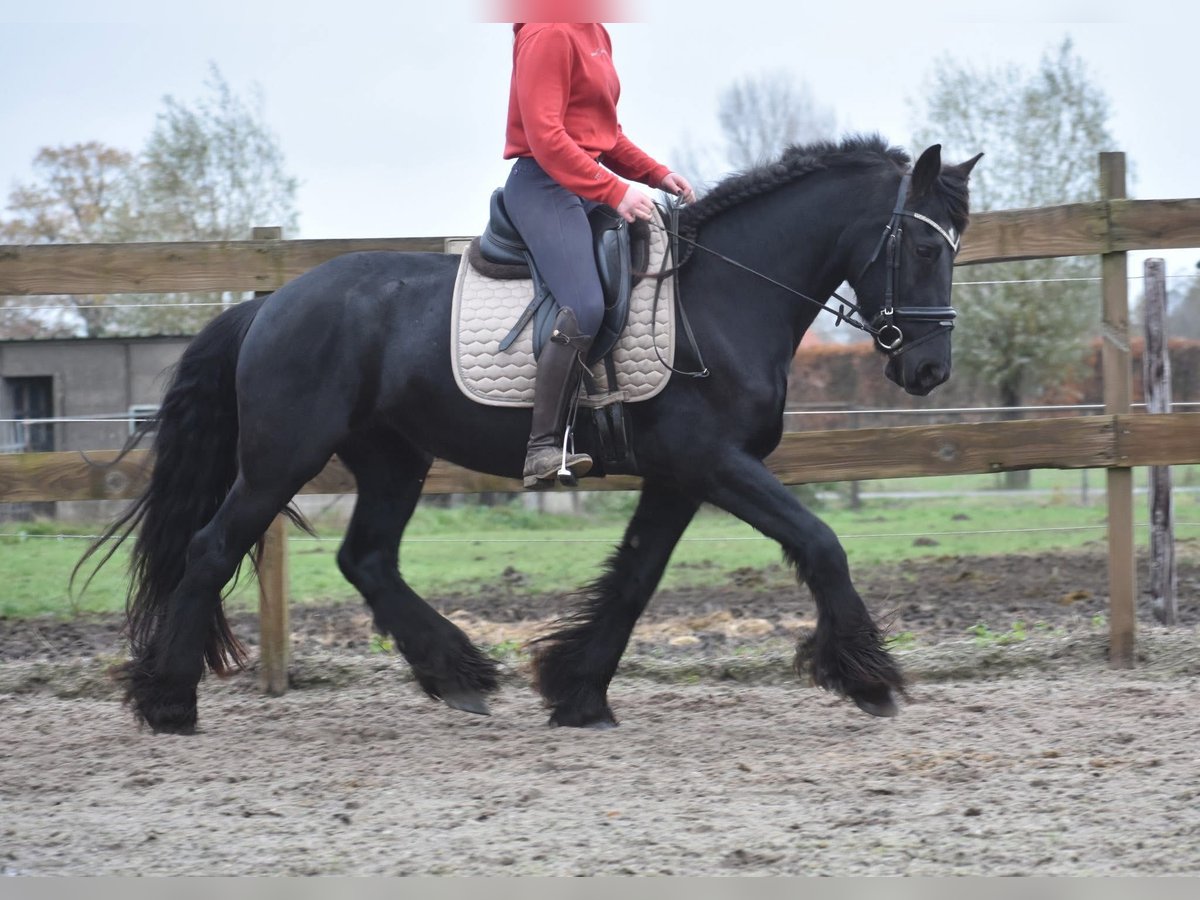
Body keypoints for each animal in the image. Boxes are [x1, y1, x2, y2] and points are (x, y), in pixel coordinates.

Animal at [85, 135, 981, 733]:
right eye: (918, 244)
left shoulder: (679, 474)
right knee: (211, 549)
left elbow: (634, 579)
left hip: (393, 458)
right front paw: (869, 678)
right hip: (282, 457)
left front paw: (578, 691)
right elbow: (820, 542)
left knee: (366, 558)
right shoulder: (711, 461)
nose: (930, 369)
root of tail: (270, 303)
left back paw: (459, 675)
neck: (725, 295)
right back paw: (168, 702)